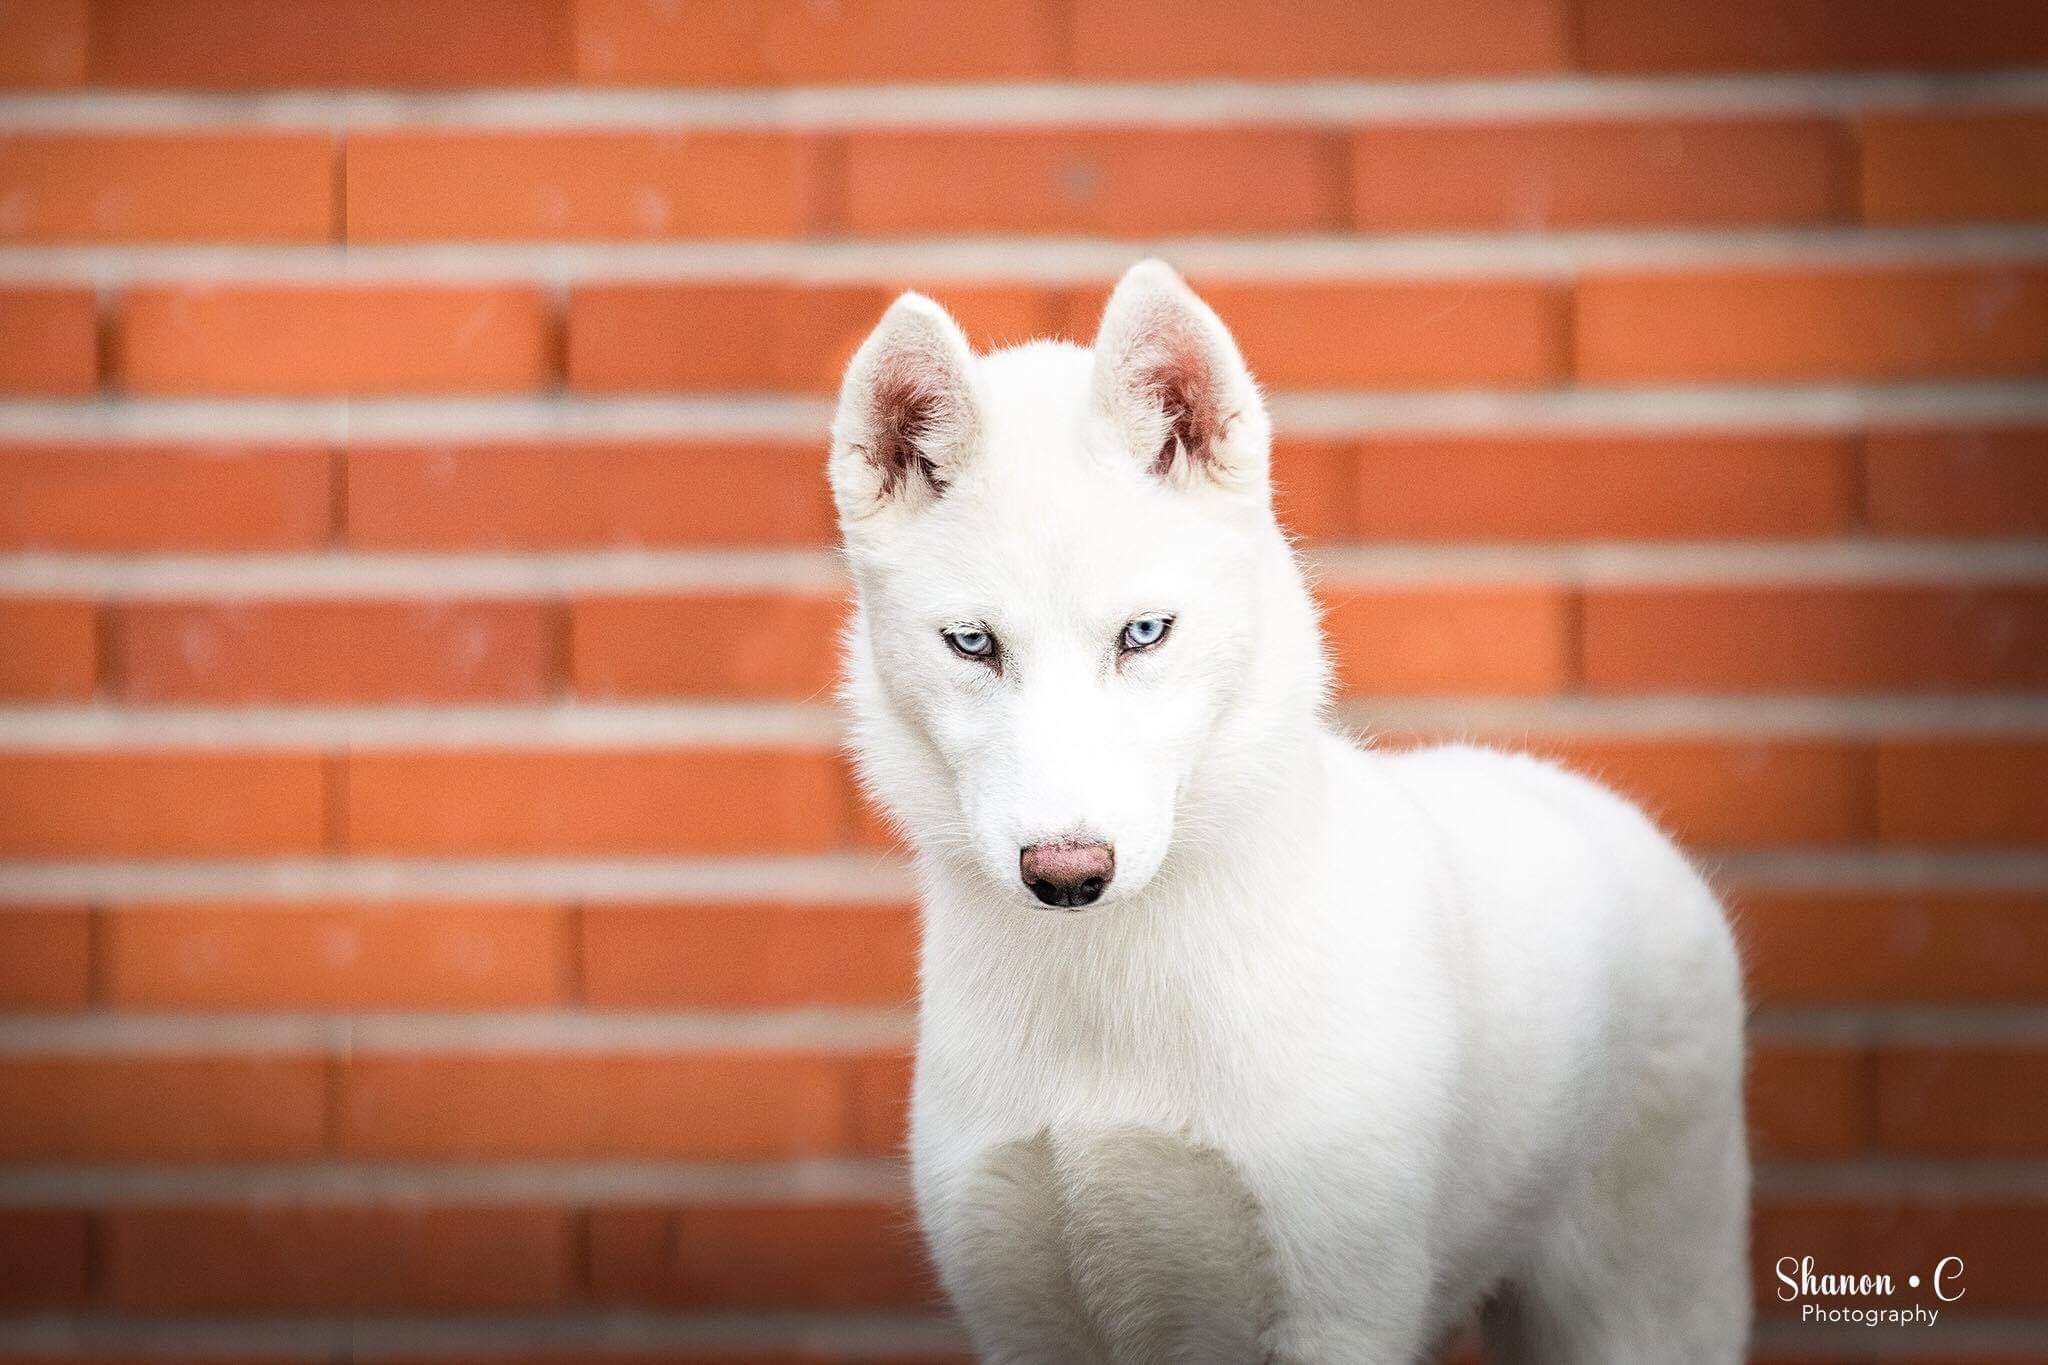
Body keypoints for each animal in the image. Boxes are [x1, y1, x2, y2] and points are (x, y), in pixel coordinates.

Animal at [827, 261, 1744, 1358]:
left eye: (1145, 633)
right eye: (971, 643)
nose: (1066, 874)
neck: (1106, 1015)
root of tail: (1590, 797)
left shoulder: (1338, 1307)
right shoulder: (1017, 1311)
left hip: (1644, 1306)